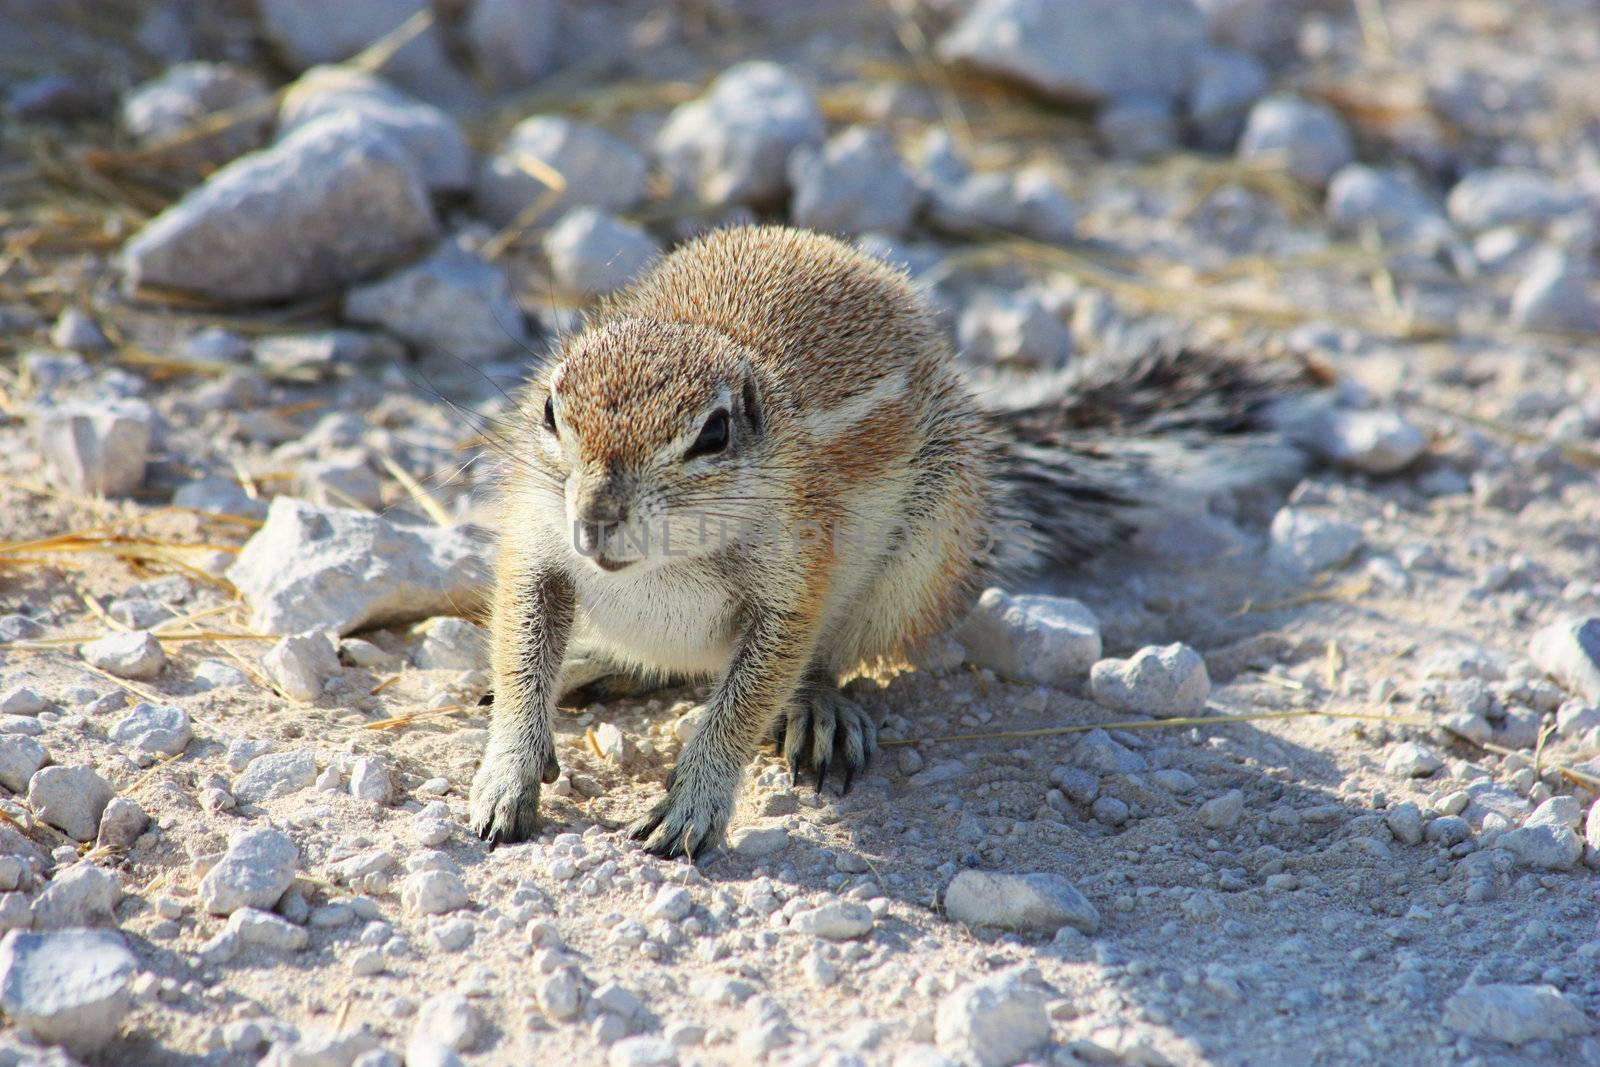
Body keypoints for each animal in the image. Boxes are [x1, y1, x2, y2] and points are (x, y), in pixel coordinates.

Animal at [467, 225, 1305, 857]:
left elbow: (748, 698)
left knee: (821, 665)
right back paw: (590, 663)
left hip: (920, 561)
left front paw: (693, 802)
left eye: (712, 434)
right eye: (550, 413)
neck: (657, 566)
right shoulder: (537, 543)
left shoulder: (796, 577)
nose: (595, 518)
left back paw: (820, 710)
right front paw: (506, 773)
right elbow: (520, 648)